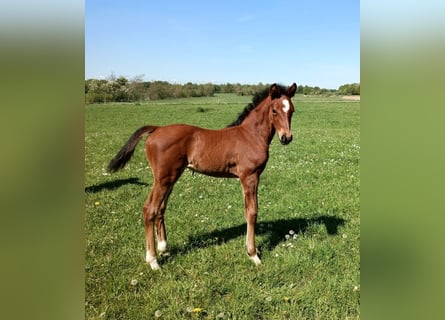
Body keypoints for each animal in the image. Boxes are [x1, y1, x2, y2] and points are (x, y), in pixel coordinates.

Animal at [106, 82, 298, 270]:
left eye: (292, 111)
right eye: (274, 111)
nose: (286, 138)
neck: (251, 135)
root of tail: (157, 129)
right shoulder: (249, 176)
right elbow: (252, 212)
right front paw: (253, 255)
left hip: (170, 178)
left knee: (160, 208)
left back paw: (163, 248)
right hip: (163, 179)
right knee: (149, 209)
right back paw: (153, 261)